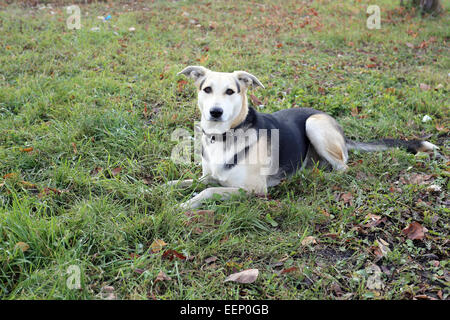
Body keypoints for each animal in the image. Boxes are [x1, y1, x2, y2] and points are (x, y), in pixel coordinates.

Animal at [167, 66, 438, 209]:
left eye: (231, 91)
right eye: (207, 89)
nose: (215, 112)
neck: (223, 136)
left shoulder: (254, 190)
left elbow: (208, 191)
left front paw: (184, 206)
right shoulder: (207, 175)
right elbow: (185, 182)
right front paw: (161, 190)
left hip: (313, 124)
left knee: (343, 168)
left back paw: (314, 176)